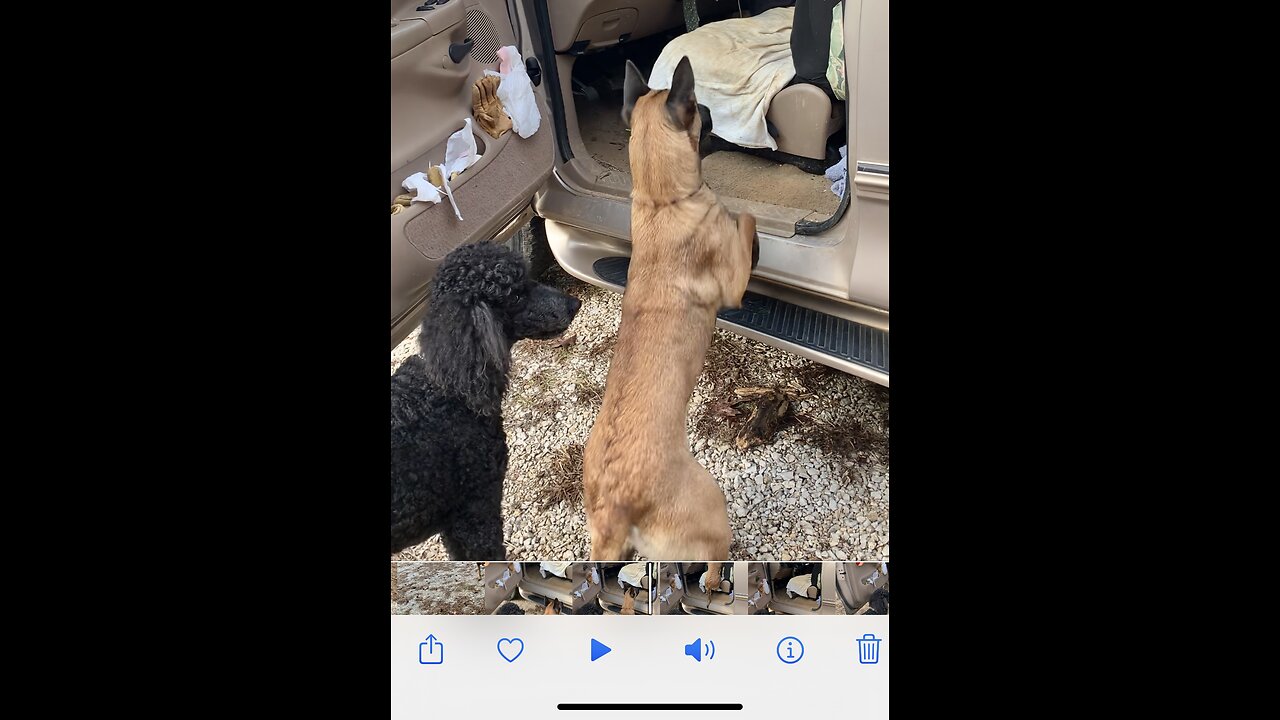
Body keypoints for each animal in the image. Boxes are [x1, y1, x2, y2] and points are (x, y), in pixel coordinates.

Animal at [583, 56, 757, 561]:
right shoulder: (734, 283)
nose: (716, 117)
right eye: (701, 109)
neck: (663, 200)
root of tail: (612, 509)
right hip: (710, 504)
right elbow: (745, 219)